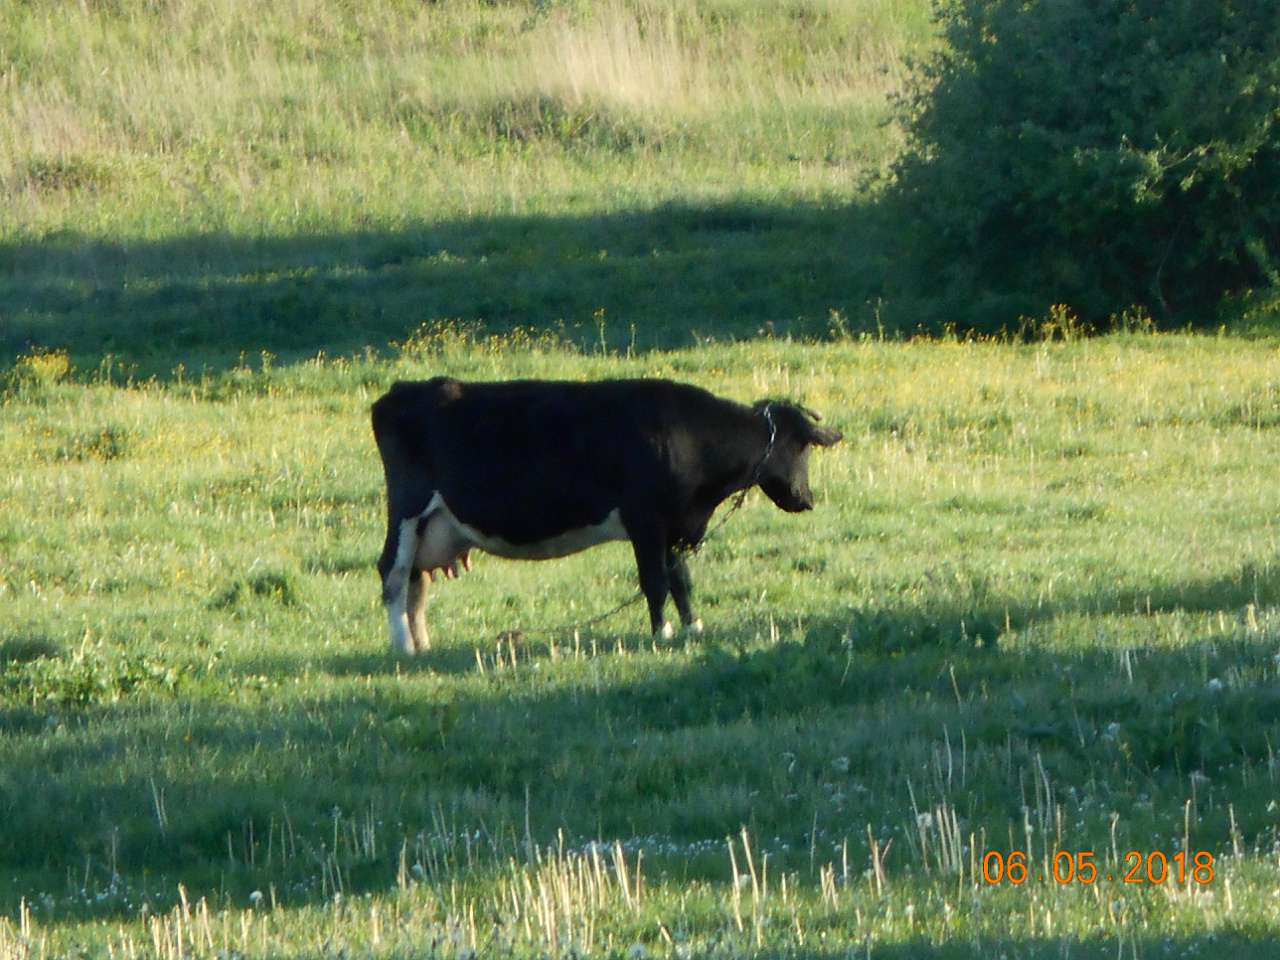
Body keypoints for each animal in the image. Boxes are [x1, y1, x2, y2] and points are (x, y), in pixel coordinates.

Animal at [373, 376, 839, 655]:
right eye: (802, 447)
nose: (806, 498)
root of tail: (402, 389)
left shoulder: (674, 525)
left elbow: (681, 580)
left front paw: (693, 628)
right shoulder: (646, 520)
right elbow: (655, 582)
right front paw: (661, 633)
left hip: (431, 527)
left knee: (416, 583)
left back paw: (422, 646)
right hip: (407, 511)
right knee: (393, 574)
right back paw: (403, 647)